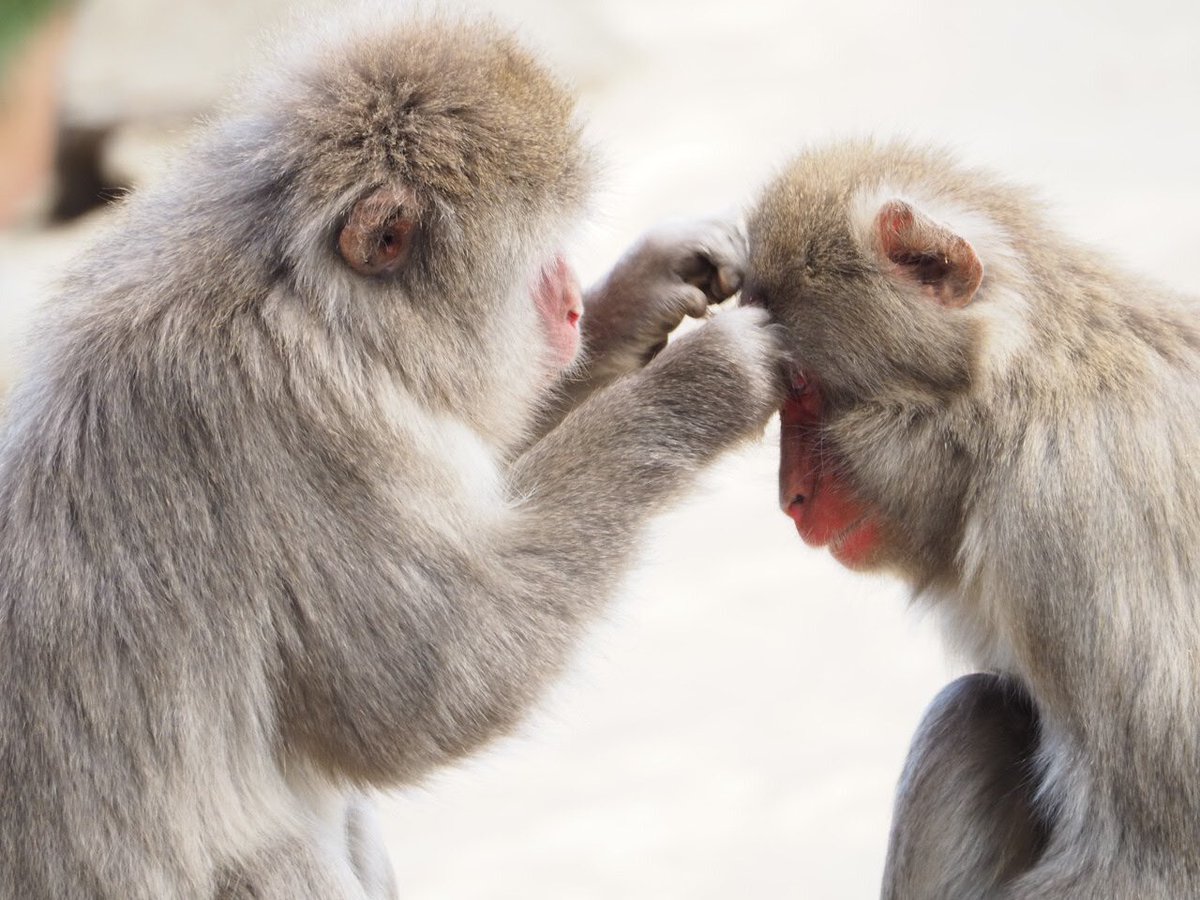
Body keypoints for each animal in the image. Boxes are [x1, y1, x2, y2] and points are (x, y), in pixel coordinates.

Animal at [0, 15, 787, 900]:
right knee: (280, 854)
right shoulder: (296, 429)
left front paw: (643, 287)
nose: (570, 307)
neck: (309, 304)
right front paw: (705, 379)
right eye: (537, 260)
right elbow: (427, 695)